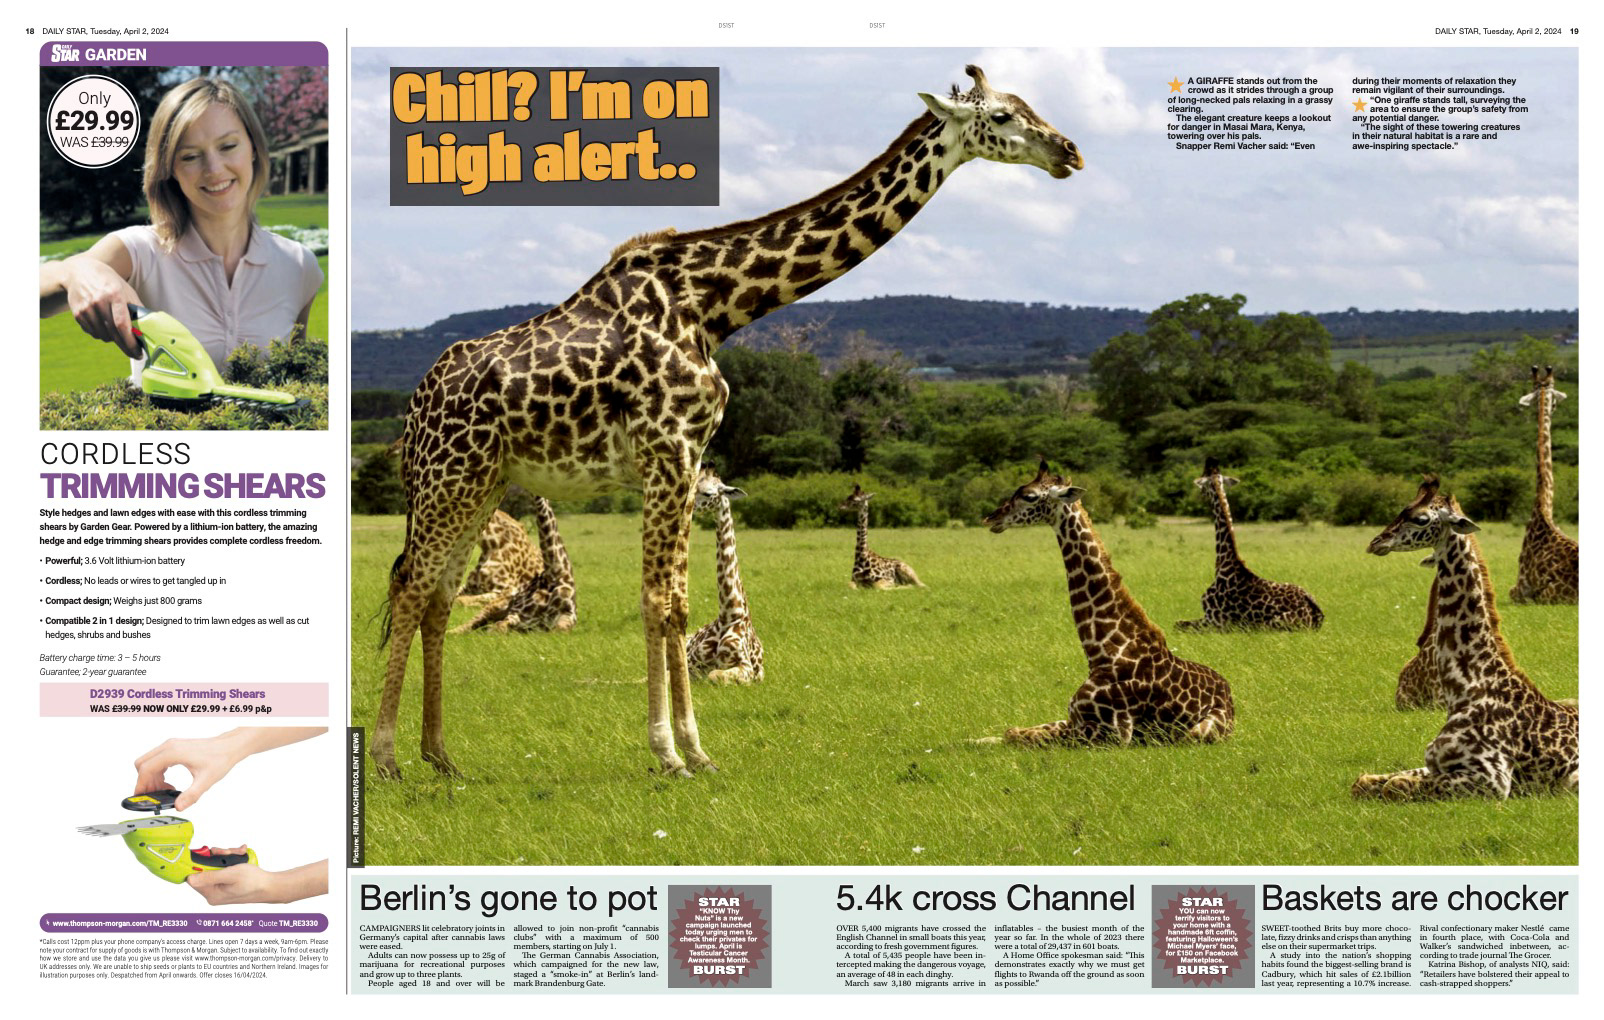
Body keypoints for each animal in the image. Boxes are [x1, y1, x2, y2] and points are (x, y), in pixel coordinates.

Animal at [686, 467, 764, 685]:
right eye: (692, 486)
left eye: (708, 493)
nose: (687, 508)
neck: (729, 613)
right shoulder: (691, 660)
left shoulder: (747, 669)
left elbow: (714, 674)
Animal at [983, 458, 1234, 746]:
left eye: (1030, 496)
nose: (992, 518)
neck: (1103, 651)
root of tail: (1229, 693)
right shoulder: (1073, 718)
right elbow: (1012, 731)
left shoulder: (1113, 733)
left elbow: (1020, 736)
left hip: (1200, 731)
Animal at [1175, 457, 1323, 631]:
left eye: (1203, 476)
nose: (1199, 493)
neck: (1223, 563)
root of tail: (1316, 613)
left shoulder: (1215, 621)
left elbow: (1177, 624)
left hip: (1270, 624)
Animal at [1354, 476, 1578, 800]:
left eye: (1420, 518)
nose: (1376, 542)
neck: (1466, 688)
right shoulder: (1434, 764)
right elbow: (1364, 782)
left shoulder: (1493, 780)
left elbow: (1395, 786)